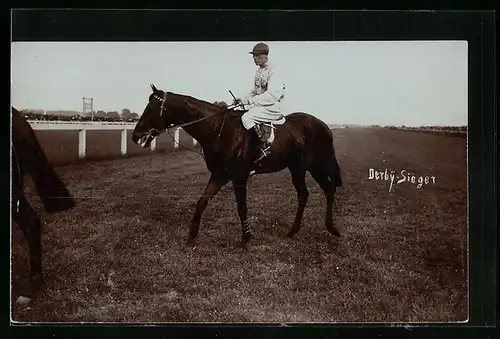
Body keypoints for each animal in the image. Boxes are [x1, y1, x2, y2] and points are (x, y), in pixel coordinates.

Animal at [131, 85, 342, 247]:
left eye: (151, 109)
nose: (135, 136)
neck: (220, 130)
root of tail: (323, 125)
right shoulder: (220, 175)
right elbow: (202, 202)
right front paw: (191, 237)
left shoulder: (239, 177)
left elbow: (242, 207)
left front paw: (245, 238)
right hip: (300, 168)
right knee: (308, 193)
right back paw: (296, 230)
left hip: (314, 166)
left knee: (327, 190)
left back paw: (331, 228)